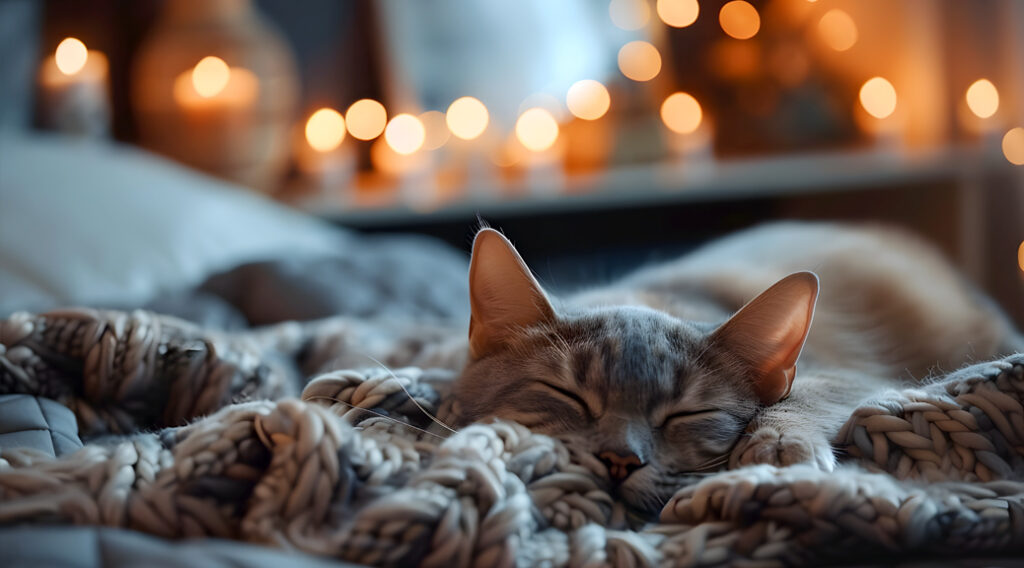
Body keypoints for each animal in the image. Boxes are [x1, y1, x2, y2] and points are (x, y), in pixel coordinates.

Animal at [450, 222, 1024, 515]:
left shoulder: (852, 375)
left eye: (686, 414)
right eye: (567, 394)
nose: (619, 461)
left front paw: (777, 444)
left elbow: (806, 395)